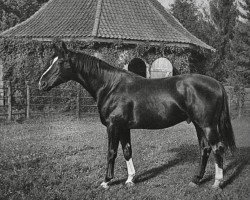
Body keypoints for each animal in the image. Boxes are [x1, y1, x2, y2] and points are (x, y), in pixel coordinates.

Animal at [38, 42, 236, 189]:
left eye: (60, 62)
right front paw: (130, 179)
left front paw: (106, 181)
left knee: (217, 148)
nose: (41, 83)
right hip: (198, 124)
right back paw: (196, 179)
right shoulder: (124, 127)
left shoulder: (113, 126)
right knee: (205, 149)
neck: (111, 86)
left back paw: (217, 183)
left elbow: (111, 152)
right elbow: (127, 151)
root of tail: (217, 84)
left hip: (207, 125)